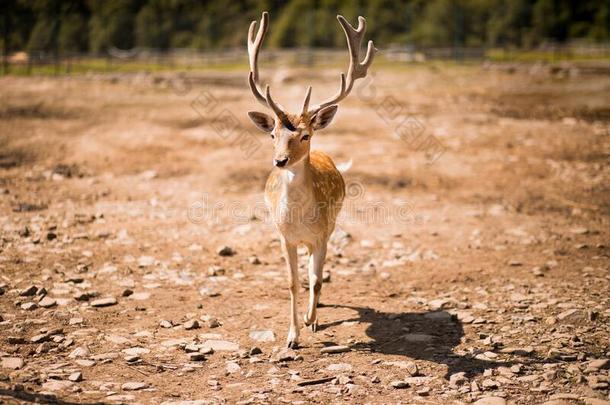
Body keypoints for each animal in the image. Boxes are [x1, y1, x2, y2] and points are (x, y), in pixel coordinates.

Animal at [245, 12, 372, 348]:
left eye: (305, 135)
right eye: (273, 135)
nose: (280, 161)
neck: (299, 219)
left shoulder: (322, 234)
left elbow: (315, 279)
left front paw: (310, 320)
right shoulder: (283, 236)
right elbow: (292, 282)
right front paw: (291, 336)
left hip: (332, 225)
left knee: (318, 274)